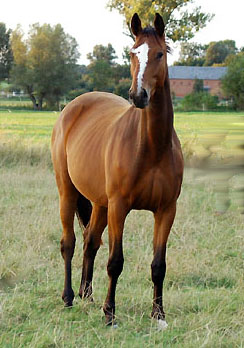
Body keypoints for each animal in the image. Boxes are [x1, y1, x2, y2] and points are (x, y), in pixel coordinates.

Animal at [52, 13, 185, 328]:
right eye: (132, 53)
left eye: (160, 54)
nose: (138, 96)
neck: (151, 147)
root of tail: (72, 107)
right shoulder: (119, 207)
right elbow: (115, 262)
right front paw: (110, 313)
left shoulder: (166, 210)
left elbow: (158, 265)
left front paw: (159, 315)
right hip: (68, 192)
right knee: (69, 243)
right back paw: (69, 297)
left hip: (100, 203)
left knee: (90, 242)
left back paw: (87, 295)